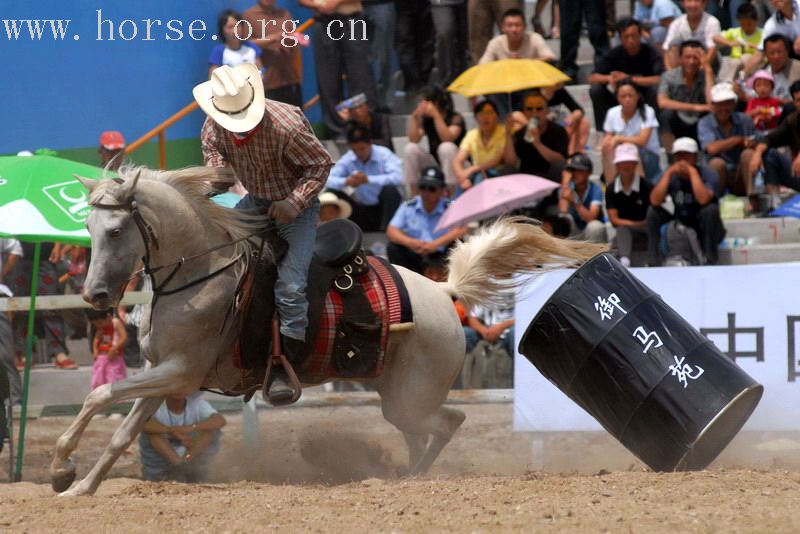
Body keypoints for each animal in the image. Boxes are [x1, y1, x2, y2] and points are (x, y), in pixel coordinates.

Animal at [51, 168, 608, 498]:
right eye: (89, 231)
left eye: (116, 230)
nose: (95, 295)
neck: (203, 272)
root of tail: (441, 291)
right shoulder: (162, 373)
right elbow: (121, 430)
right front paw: (79, 485)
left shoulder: (180, 372)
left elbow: (99, 394)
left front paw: (61, 469)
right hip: (396, 395)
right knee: (424, 430)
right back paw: (402, 472)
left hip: (410, 397)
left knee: (449, 421)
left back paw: (414, 475)